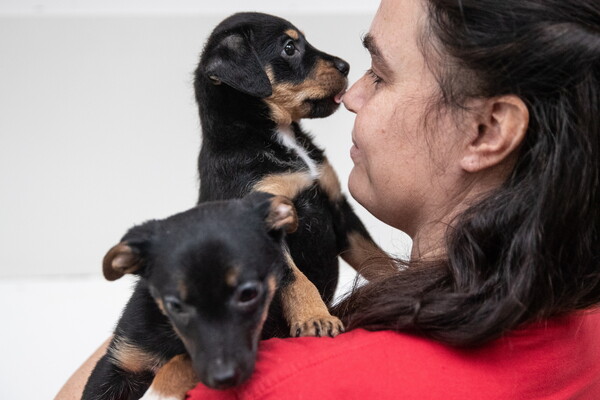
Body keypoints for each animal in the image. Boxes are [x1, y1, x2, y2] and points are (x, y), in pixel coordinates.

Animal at [81, 192, 300, 398]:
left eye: (249, 294)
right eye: (174, 306)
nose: (224, 378)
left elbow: (182, 360)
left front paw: (158, 393)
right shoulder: (119, 361)